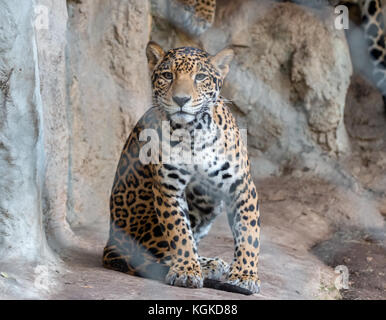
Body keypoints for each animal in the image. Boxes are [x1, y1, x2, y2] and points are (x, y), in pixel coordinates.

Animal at [102, 41, 262, 294]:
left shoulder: (241, 187)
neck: (194, 132)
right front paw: (186, 271)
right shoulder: (168, 188)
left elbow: (249, 234)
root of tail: (111, 244)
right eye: (168, 75)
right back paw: (203, 266)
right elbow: (179, 233)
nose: (181, 99)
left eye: (201, 77)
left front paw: (244, 274)